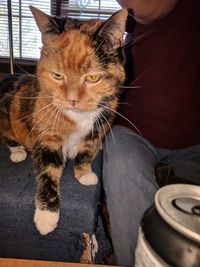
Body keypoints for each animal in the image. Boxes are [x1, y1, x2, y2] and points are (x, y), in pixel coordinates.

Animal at [0, 6, 127, 236]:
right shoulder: (47, 134)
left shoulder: (101, 123)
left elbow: (87, 150)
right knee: (8, 136)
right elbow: (48, 169)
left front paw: (84, 173)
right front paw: (46, 216)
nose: (72, 100)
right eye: (57, 75)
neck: (78, 115)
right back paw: (18, 151)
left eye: (93, 77)